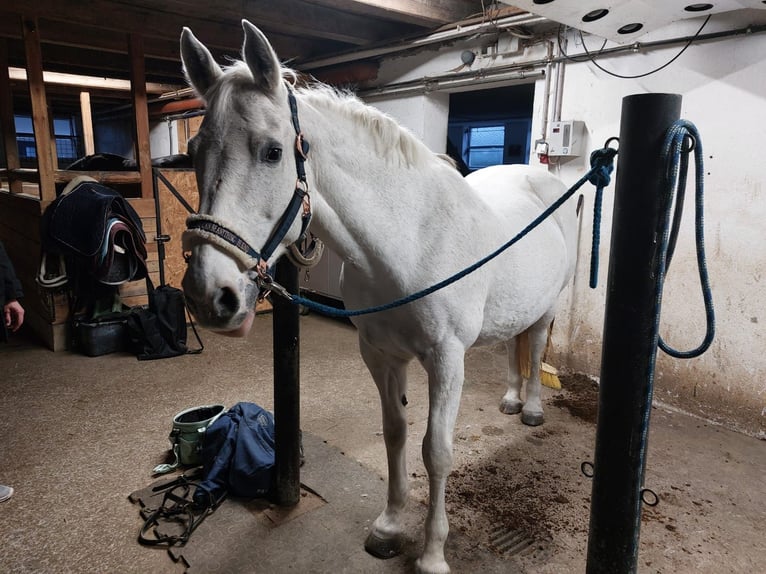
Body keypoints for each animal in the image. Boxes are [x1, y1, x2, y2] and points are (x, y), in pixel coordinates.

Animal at [179, 21, 578, 574]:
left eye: (272, 152)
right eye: (194, 152)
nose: (207, 295)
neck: (409, 239)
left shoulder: (446, 359)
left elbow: (437, 451)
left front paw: (432, 553)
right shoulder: (379, 353)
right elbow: (396, 433)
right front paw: (388, 526)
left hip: (547, 307)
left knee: (535, 347)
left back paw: (533, 408)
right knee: (511, 347)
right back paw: (513, 399)